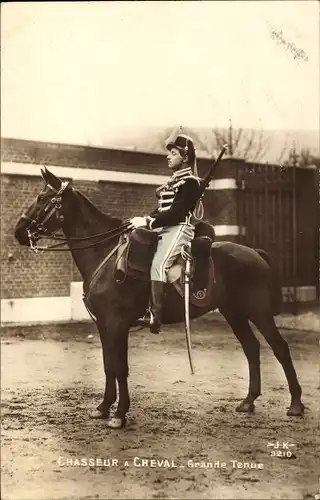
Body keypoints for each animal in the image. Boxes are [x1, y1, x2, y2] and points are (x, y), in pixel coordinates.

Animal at [13, 169, 304, 430]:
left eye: (43, 198)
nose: (18, 231)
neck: (104, 254)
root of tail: (254, 252)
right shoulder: (103, 326)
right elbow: (109, 366)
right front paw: (104, 407)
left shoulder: (117, 324)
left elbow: (120, 368)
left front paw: (119, 414)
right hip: (233, 313)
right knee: (251, 348)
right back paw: (248, 401)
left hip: (259, 313)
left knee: (280, 348)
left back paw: (296, 405)